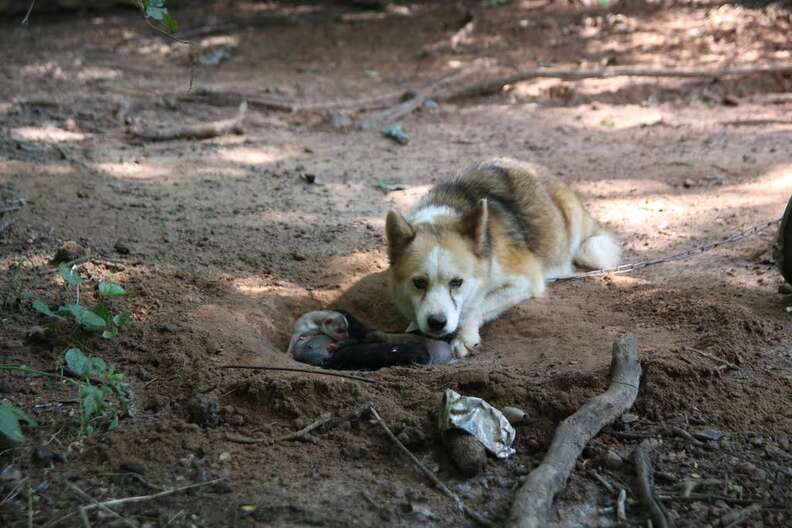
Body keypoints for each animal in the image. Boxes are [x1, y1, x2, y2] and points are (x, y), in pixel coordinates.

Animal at [386, 156, 620, 354]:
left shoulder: (525, 282)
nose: (437, 323)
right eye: (419, 283)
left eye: (457, 282)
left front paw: (465, 337)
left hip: (585, 247)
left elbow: (476, 306)